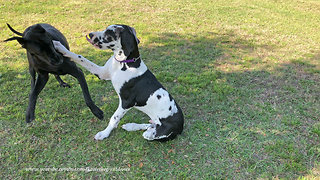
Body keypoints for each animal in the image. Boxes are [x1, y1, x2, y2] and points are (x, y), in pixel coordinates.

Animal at [53, 24, 184, 141]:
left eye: (109, 33)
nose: (90, 34)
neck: (124, 63)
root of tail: (181, 126)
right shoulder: (101, 73)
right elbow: (81, 58)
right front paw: (59, 46)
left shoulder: (126, 102)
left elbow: (114, 118)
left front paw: (104, 133)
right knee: (149, 125)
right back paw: (131, 126)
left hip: (159, 131)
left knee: (149, 132)